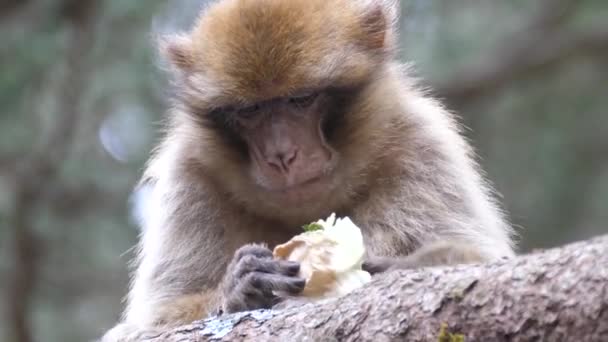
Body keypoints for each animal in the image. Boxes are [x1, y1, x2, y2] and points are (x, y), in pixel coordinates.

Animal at [102, 0, 516, 340]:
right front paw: (239, 287)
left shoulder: (422, 147)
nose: (282, 155)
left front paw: (405, 266)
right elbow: (147, 325)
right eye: (250, 110)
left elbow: (483, 260)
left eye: (300, 100)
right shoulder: (189, 177)